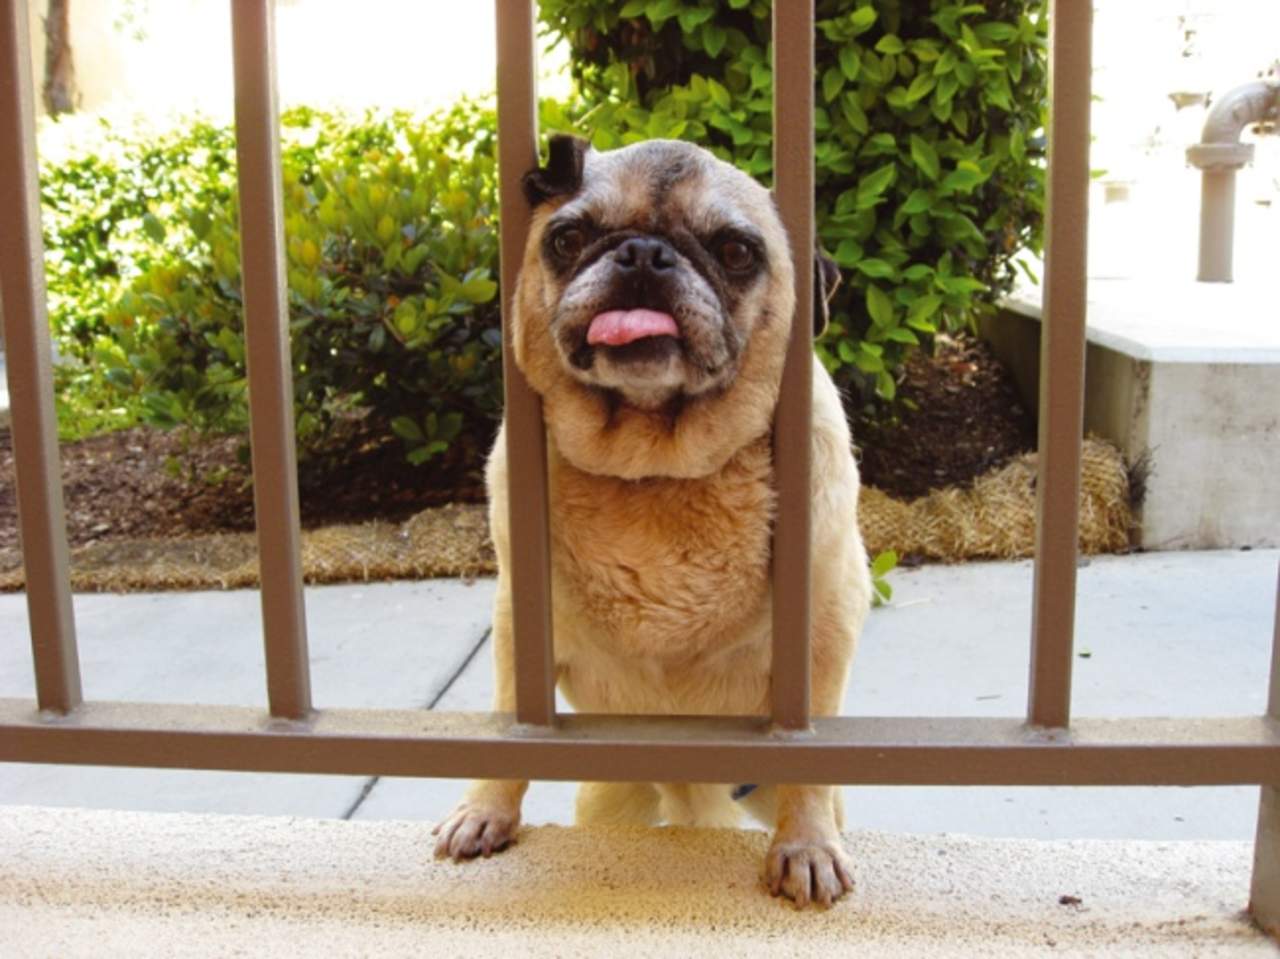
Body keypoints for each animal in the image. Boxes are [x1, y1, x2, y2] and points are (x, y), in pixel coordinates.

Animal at [433, 135, 872, 908]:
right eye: (567, 238)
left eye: (735, 251)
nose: (642, 253)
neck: (654, 470)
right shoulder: (519, 628)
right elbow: (512, 721)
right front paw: (486, 808)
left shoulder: (823, 635)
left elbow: (806, 768)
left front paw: (807, 844)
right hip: (612, 797)